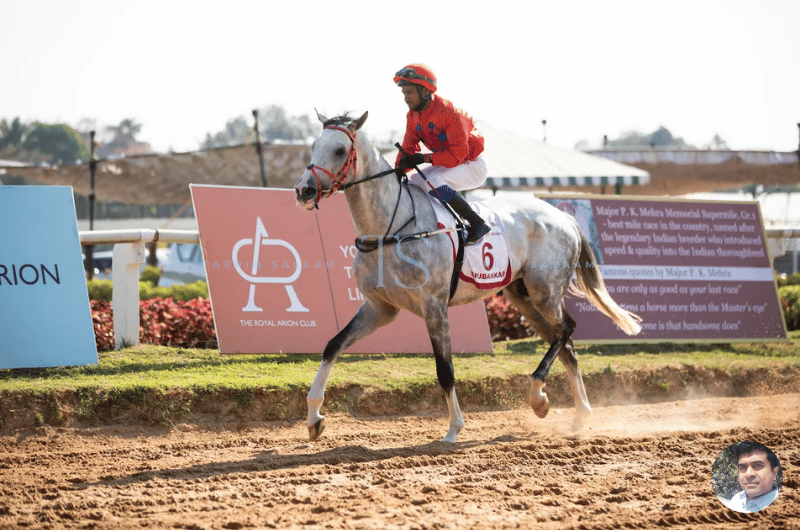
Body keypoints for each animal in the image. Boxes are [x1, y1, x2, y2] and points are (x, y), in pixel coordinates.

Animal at [294, 110, 641, 443]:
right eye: (314, 146)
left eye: (340, 150)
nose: (303, 190)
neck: (389, 230)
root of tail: (563, 217)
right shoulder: (379, 308)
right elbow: (332, 345)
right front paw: (314, 418)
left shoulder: (434, 308)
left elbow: (445, 370)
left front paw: (454, 428)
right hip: (522, 297)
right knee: (565, 343)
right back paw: (572, 411)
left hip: (544, 291)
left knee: (567, 328)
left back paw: (539, 393)